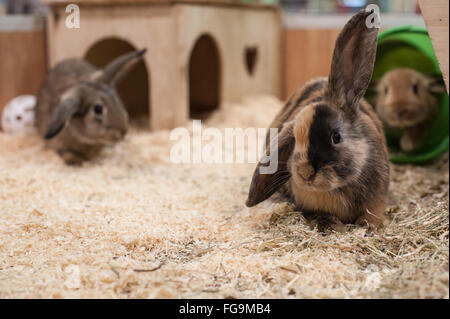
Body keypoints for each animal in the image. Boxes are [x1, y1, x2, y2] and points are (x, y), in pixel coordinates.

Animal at [246, 10, 390, 231]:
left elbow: (372, 213)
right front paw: (330, 226)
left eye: (336, 137)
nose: (305, 173)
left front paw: (369, 226)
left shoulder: (378, 199)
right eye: (295, 140)